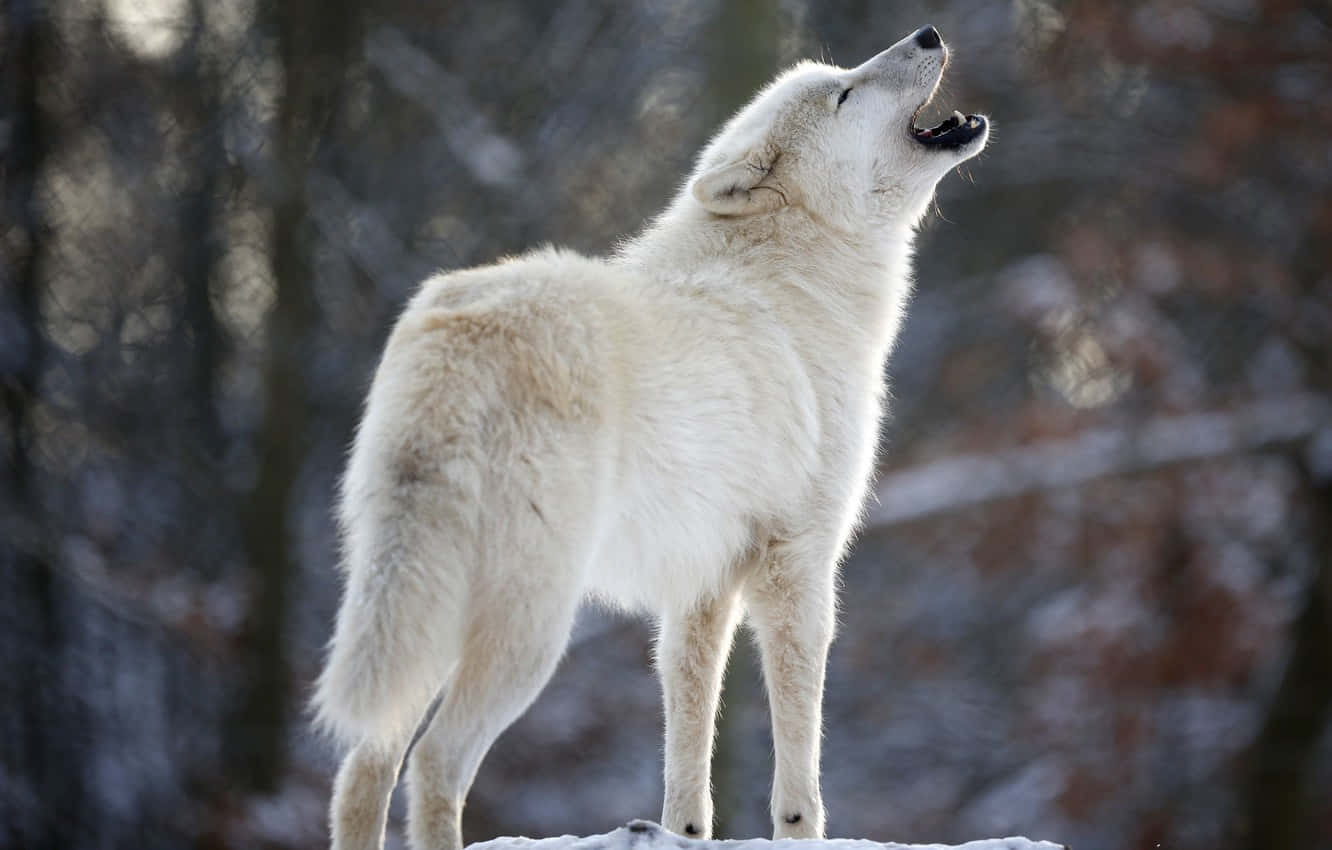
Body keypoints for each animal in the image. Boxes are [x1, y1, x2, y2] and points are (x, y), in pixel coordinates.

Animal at [317, 24, 991, 850]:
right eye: (845, 93)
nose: (928, 32)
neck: (796, 280)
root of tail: (456, 333)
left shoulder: (701, 583)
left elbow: (688, 741)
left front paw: (682, 833)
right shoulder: (798, 564)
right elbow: (799, 762)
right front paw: (799, 829)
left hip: (427, 613)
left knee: (363, 767)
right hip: (530, 629)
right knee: (435, 761)